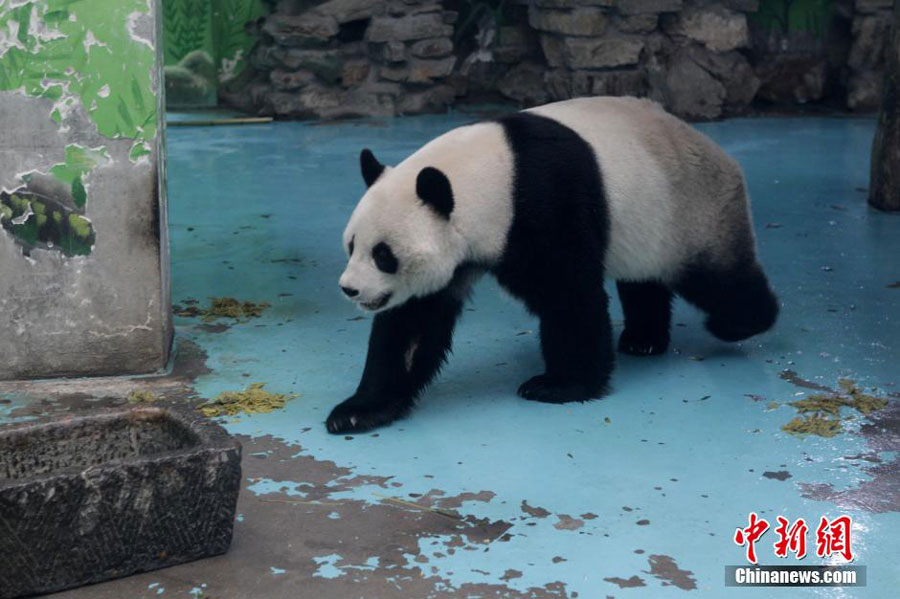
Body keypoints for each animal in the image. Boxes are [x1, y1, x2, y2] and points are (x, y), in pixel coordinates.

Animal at [327, 96, 778, 434]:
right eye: (352, 245)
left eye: (383, 254)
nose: (349, 289)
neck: (491, 174)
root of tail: (713, 147)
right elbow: (413, 325)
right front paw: (357, 411)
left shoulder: (547, 201)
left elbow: (568, 295)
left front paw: (559, 385)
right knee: (643, 279)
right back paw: (643, 339)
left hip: (691, 210)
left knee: (717, 278)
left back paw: (738, 323)